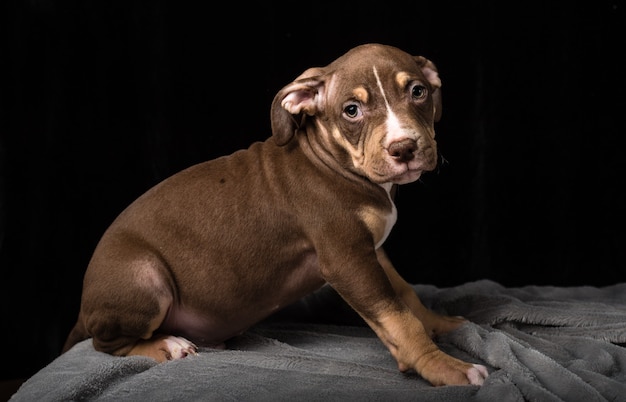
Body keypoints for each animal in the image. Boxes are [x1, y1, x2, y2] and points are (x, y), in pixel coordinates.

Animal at [63, 43, 488, 386]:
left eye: (418, 92)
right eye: (351, 110)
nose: (404, 148)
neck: (336, 163)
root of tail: (84, 307)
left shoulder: (372, 253)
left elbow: (406, 295)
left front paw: (440, 324)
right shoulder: (348, 260)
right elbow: (398, 318)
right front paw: (445, 368)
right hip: (144, 277)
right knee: (104, 345)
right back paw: (167, 345)